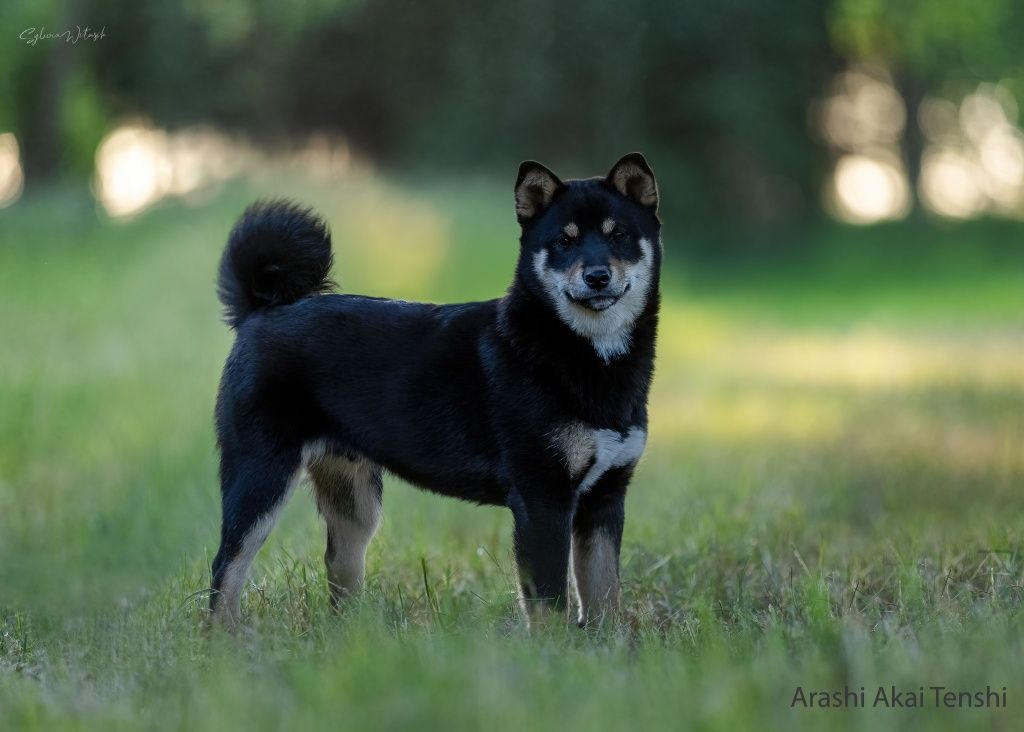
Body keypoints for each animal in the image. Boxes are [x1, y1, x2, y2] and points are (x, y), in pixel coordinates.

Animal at [211, 153, 663, 622]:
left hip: (355, 502)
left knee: (338, 570)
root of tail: (258, 311)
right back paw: (226, 637)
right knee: (227, 568)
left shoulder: (605, 497)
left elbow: (605, 597)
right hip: (261, 476)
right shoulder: (542, 498)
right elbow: (551, 606)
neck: (578, 351)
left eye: (618, 234)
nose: (597, 276)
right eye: (563, 240)